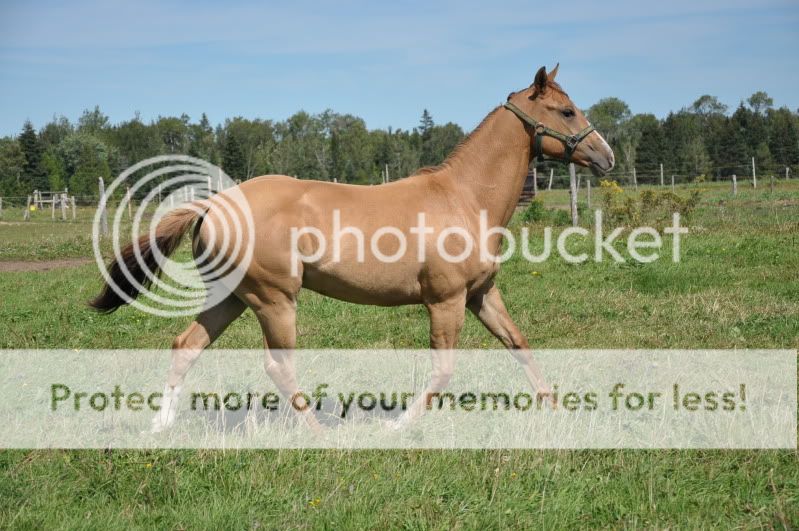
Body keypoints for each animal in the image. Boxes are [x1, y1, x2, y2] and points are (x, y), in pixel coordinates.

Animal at [92, 65, 620, 432]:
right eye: (567, 111)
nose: (607, 156)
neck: (465, 198)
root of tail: (214, 204)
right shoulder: (445, 301)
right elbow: (443, 370)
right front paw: (399, 425)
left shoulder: (480, 296)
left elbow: (520, 347)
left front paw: (557, 411)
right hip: (274, 300)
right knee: (278, 367)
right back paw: (319, 432)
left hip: (231, 299)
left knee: (186, 347)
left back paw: (159, 425)